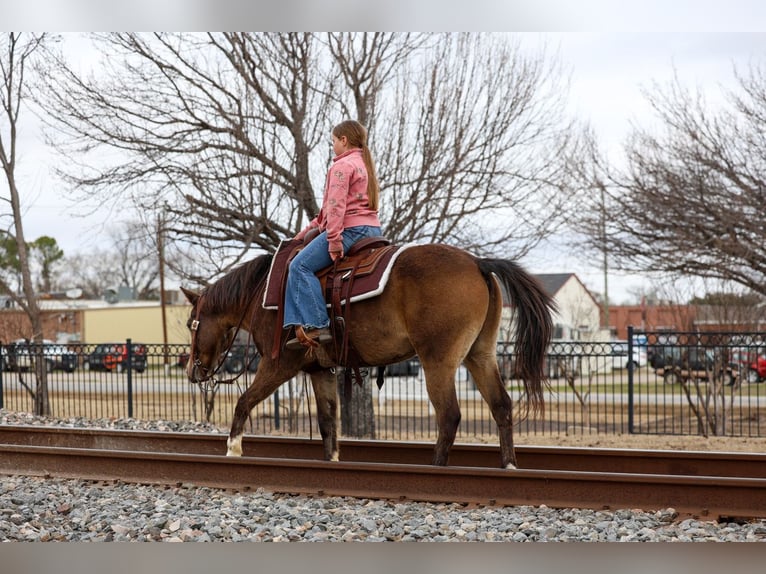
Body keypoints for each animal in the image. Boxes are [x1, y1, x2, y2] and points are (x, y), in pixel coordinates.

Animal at [182, 243, 555, 469]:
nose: (191, 371)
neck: (262, 294)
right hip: (480, 355)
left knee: (449, 416)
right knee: (501, 406)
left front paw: (233, 449)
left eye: (190, 324)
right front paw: (332, 461)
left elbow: (243, 401)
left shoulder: (278, 365)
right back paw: (509, 465)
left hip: (438, 361)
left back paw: (436, 469)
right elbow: (328, 423)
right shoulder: (320, 371)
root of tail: (478, 263)